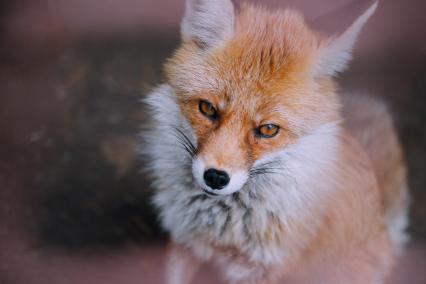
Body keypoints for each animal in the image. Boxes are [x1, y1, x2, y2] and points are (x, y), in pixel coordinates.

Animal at [143, 1, 410, 282]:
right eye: (207, 108)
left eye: (268, 129)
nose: (215, 177)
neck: (223, 230)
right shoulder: (184, 242)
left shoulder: (261, 269)